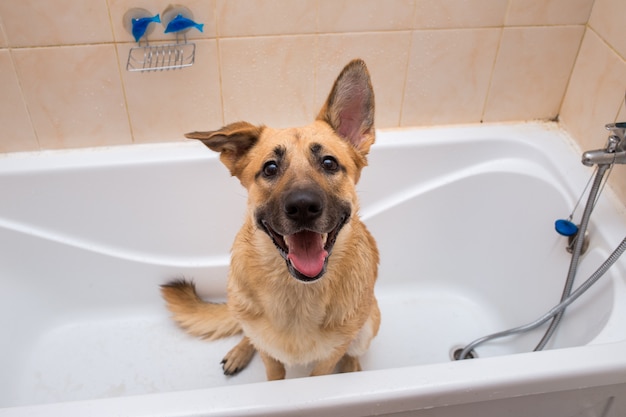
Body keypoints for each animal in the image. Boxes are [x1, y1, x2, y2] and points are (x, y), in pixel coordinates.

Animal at [158, 58, 378, 380]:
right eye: (270, 168)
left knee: (354, 349)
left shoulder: (328, 359)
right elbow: (271, 368)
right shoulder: (270, 358)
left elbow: (333, 358)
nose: (303, 206)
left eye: (329, 163)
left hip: (370, 324)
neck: (298, 293)